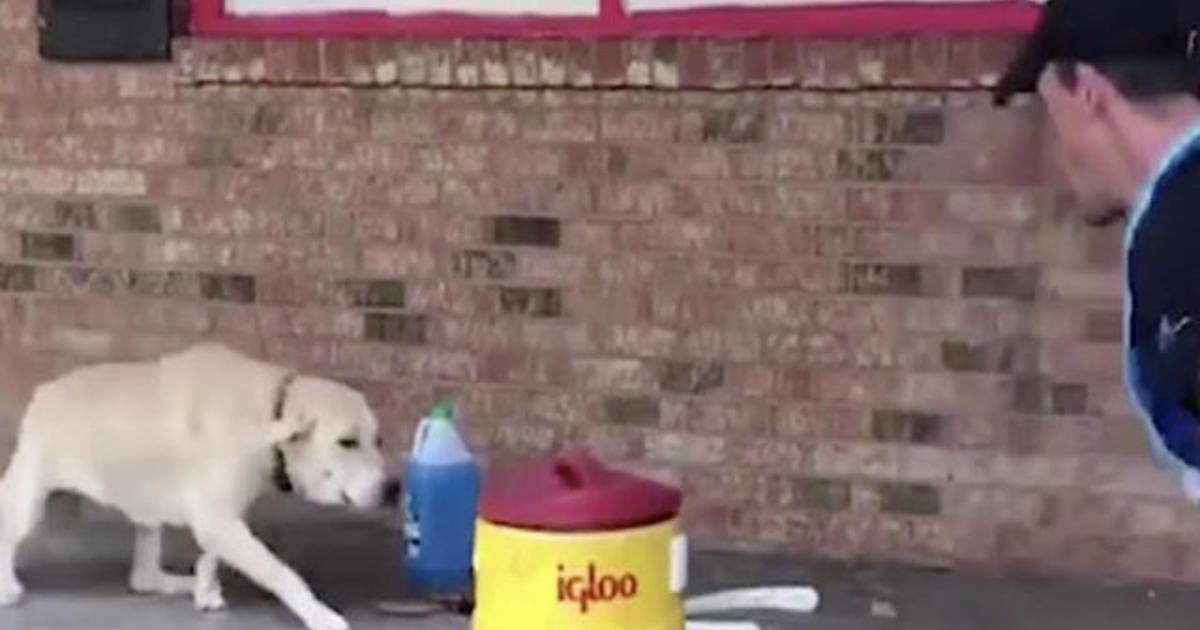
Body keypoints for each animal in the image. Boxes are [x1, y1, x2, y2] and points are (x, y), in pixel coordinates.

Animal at [0, 343, 398, 628]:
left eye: (378, 440)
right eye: (347, 442)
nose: (394, 488)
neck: (271, 410)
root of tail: (42, 392)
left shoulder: (223, 515)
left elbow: (210, 555)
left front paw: (205, 589)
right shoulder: (218, 518)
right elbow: (282, 573)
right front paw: (319, 614)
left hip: (147, 505)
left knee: (143, 577)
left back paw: (180, 583)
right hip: (30, 500)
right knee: (8, 532)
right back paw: (7, 588)